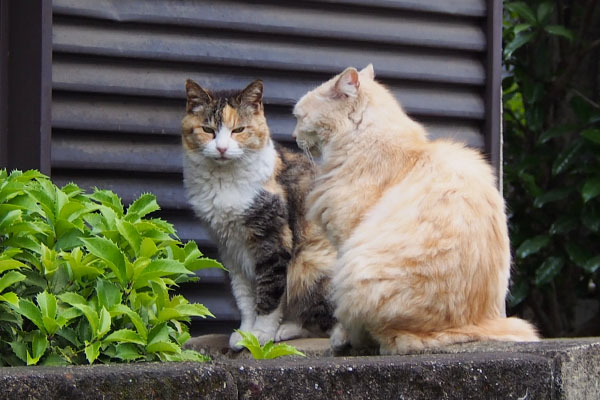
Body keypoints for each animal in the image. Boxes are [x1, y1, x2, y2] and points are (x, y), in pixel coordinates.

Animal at [180, 78, 336, 350]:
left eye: (239, 130)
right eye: (208, 130)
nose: (222, 148)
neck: (224, 182)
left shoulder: (272, 241)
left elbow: (269, 294)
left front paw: (260, 334)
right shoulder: (230, 249)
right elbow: (245, 297)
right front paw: (244, 334)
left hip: (309, 263)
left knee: (325, 322)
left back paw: (286, 330)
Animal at [292, 64, 540, 354]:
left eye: (299, 117)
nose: (293, 137)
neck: (362, 141)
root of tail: (476, 322)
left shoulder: (345, 236)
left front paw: (340, 336)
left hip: (356, 269)